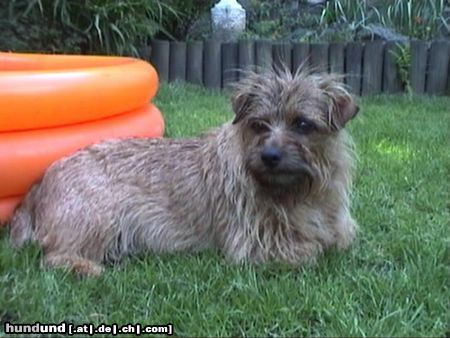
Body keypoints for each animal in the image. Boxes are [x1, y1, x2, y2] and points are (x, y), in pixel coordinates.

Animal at [8, 67, 360, 276]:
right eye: (258, 124)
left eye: (302, 124)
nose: (270, 155)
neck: (297, 193)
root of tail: (40, 184)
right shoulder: (254, 244)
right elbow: (312, 250)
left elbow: (339, 239)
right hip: (101, 216)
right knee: (53, 257)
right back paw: (88, 267)